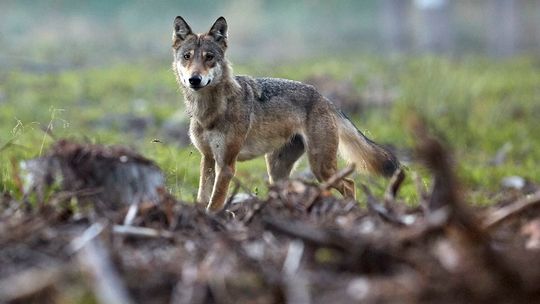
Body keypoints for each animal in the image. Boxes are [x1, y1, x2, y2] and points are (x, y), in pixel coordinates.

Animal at [171, 16, 398, 211]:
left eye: (209, 57)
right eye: (187, 57)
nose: (194, 79)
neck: (208, 112)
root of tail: (325, 99)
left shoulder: (226, 164)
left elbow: (215, 202)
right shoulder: (208, 158)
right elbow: (203, 197)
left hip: (320, 168)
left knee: (350, 183)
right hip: (278, 172)